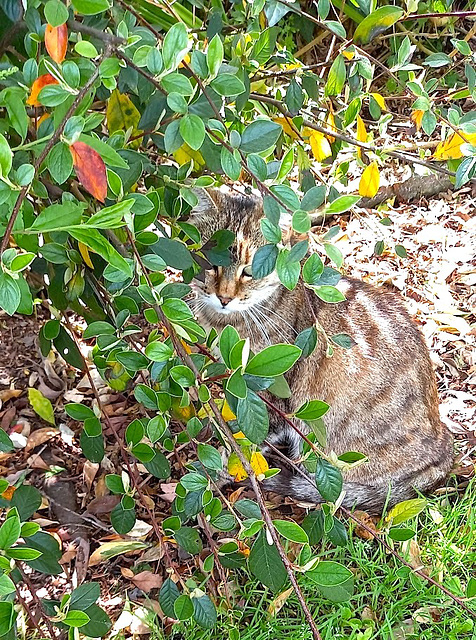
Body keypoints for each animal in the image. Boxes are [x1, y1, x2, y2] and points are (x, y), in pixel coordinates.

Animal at [189, 188, 454, 512]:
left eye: (249, 271)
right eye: (210, 263)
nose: (224, 297)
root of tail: (443, 447)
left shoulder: (268, 395)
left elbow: (244, 444)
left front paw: (216, 471)